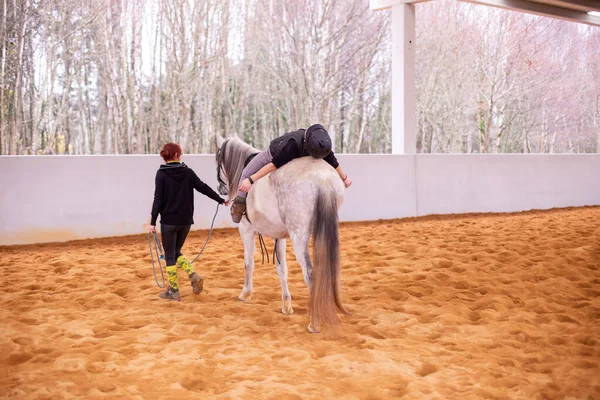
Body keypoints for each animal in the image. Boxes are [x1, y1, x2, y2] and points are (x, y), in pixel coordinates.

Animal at [214, 136, 346, 332]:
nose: (221, 189)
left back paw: (314, 322)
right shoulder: (280, 237)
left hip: (299, 237)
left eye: (217, 158)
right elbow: (282, 269)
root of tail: (322, 178)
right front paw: (287, 305)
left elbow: (248, 263)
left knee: (310, 273)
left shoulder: (246, 230)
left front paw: (245, 293)